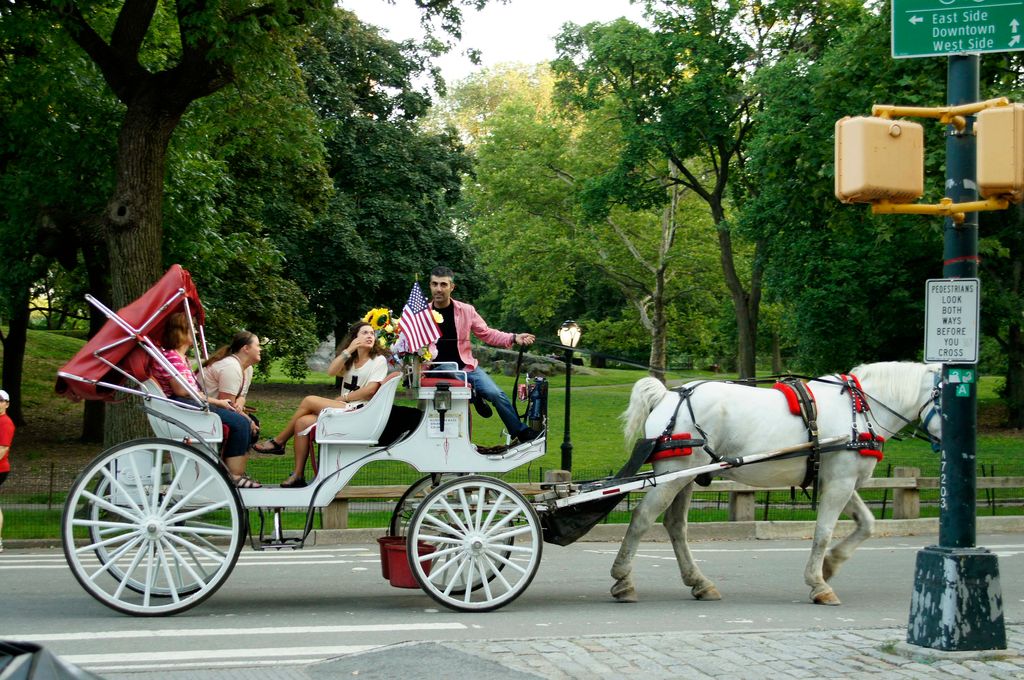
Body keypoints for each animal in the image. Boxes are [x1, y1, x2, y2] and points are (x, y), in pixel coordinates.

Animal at [610, 360, 937, 606]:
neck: (859, 408)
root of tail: (667, 395)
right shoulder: (840, 483)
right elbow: (823, 532)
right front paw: (818, 583)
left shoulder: (838, 480)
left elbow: (867, 524)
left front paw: (831, 564)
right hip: (672, 476)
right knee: (642, 518)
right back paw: (624, 579)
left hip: (685, 476)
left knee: (675, 525)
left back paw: (699, 582)